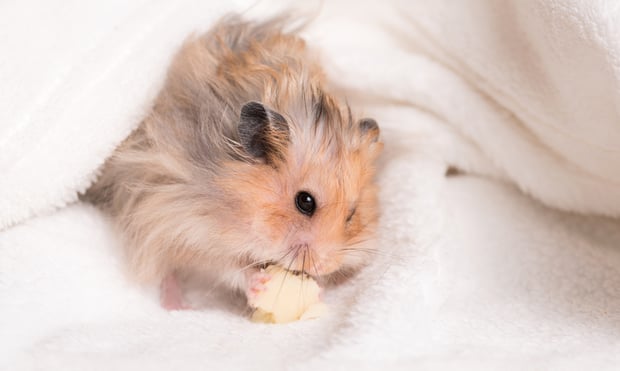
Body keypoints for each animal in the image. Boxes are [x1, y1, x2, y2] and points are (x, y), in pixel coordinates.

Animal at [85, 15, 380, 310]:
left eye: (352, 214)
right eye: (305, 202)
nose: (324, 266)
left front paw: (317, 289)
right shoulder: (185, 224)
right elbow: (224, 268)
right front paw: (261, 284)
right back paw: (176, 306)